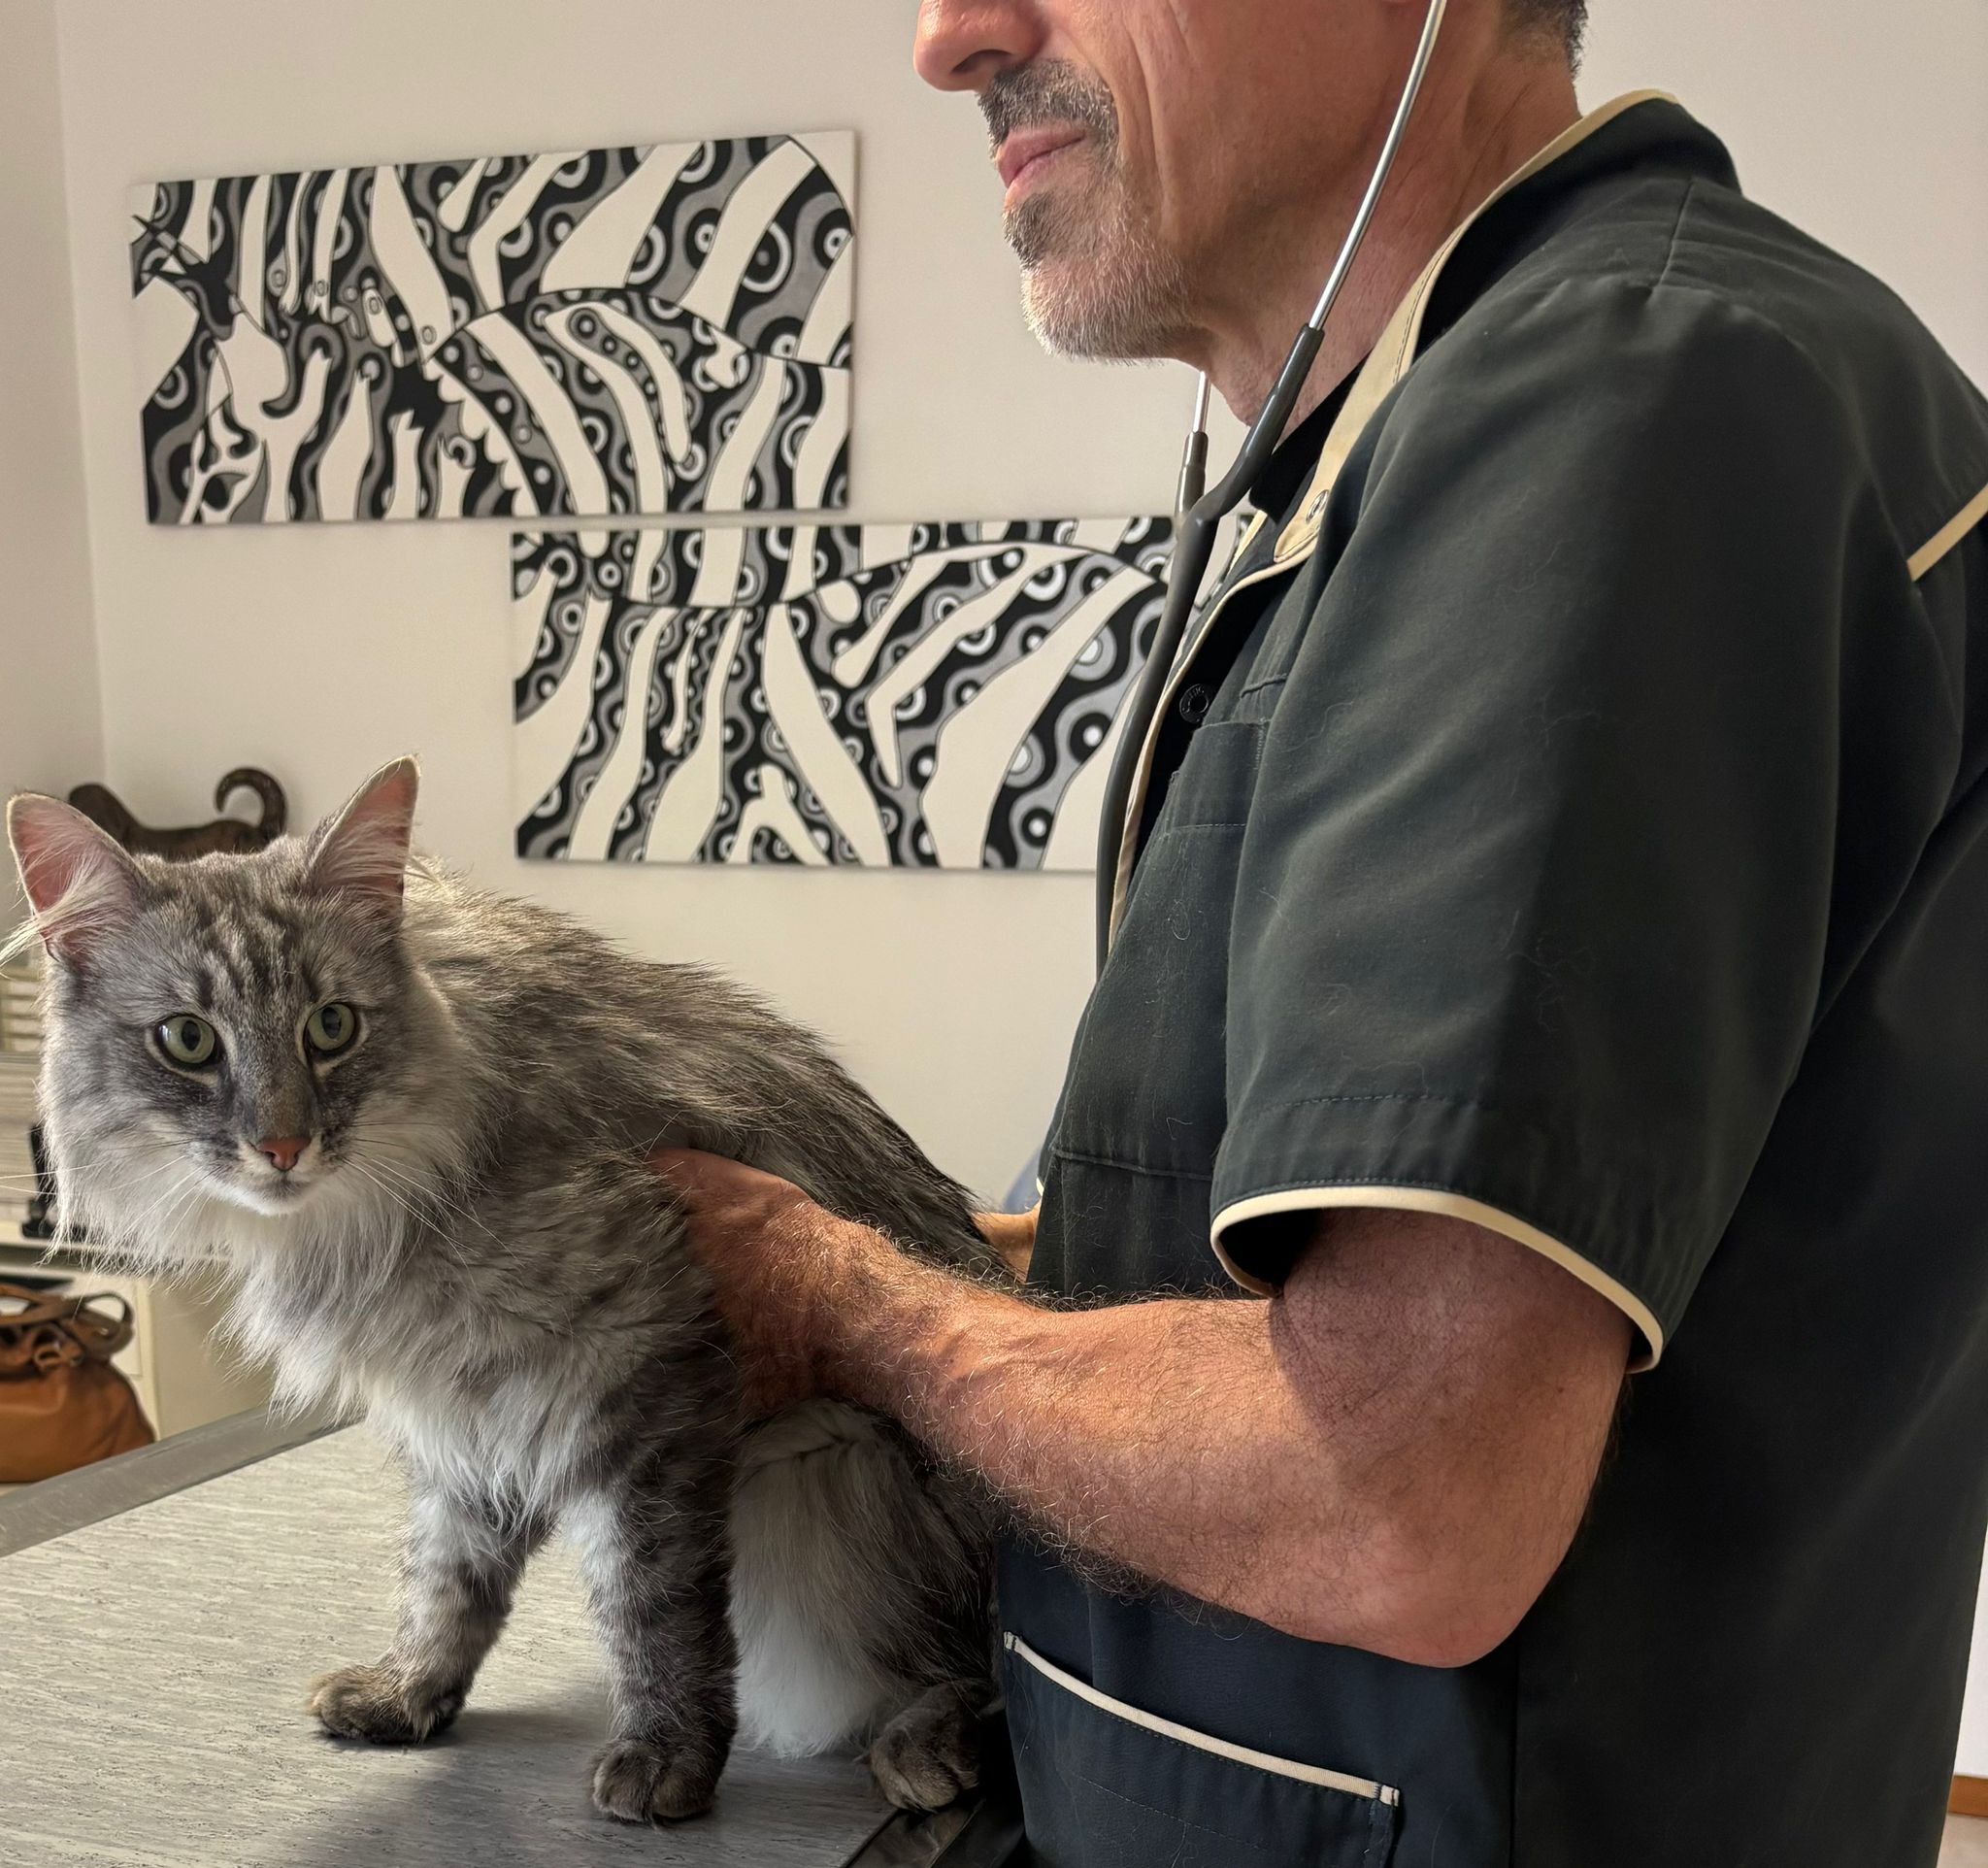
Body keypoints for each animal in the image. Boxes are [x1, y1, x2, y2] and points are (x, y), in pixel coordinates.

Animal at [4, 757, 1000, 1824]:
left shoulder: (638, 1383)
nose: (282, 1145)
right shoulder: (465, 1416)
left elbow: (651, 1605)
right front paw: (409, 1694)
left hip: (843, 1475)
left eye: (330, 1027)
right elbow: (447, 1581)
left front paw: (668, 1756)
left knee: (976, 1666)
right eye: (187, 1040)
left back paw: (926, 1744)